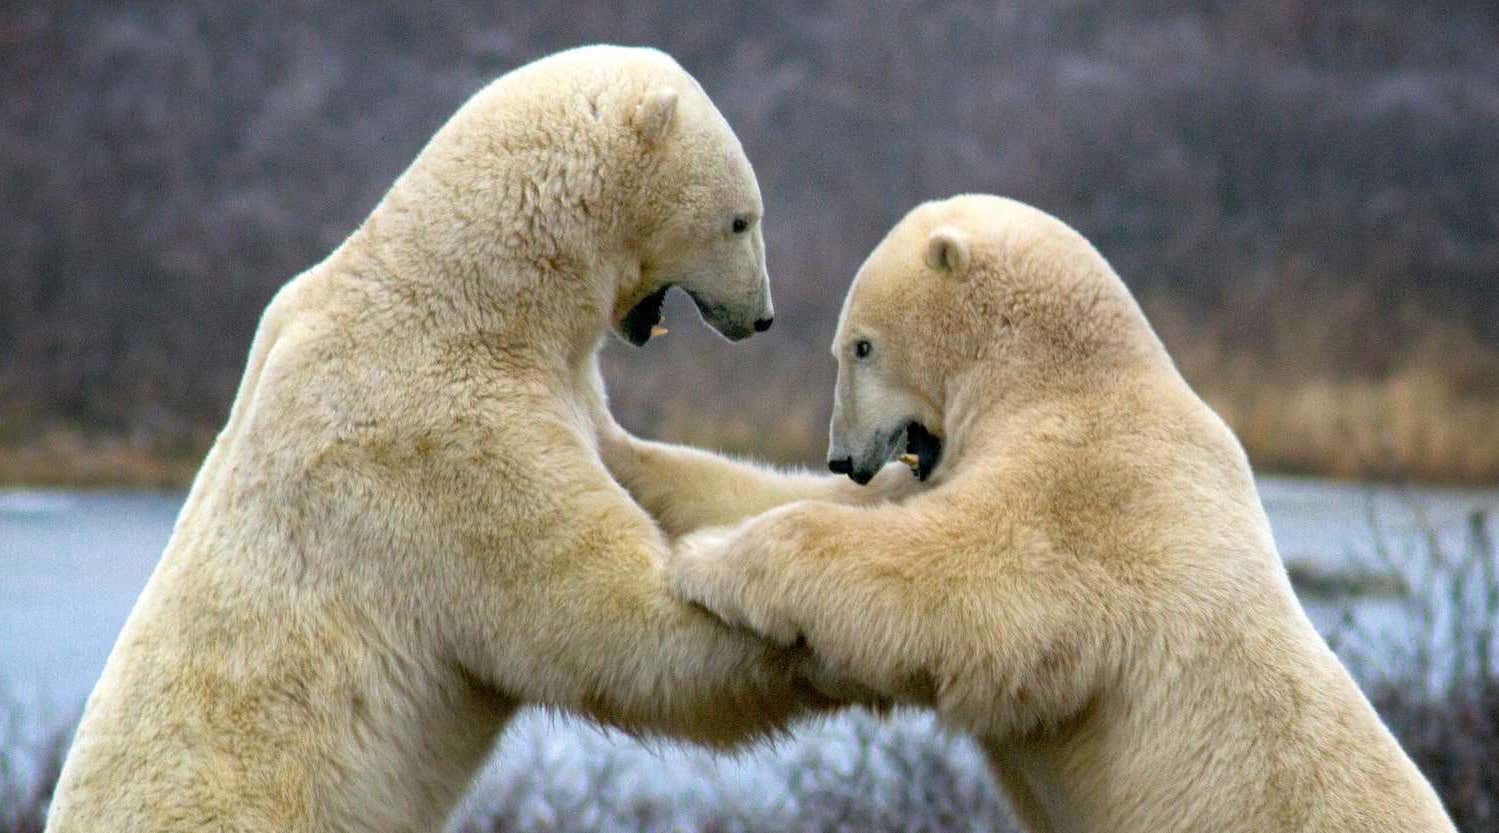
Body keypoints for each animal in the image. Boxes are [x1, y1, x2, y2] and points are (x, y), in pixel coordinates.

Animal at [47, 45, 867, 833]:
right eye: (742, 220)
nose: (761, 317)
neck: (466, 294)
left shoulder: (553, 394)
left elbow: (654, 473)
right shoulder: (443, 443)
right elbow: (608, 618)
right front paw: (820, 646)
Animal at [611, 194, 1455, 832]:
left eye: (858, 346)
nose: (842, 455)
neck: (1070, 373)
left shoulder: (1089, 484)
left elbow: (968, 582)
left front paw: (708, 561)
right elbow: (823, 499)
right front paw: (621, 448)